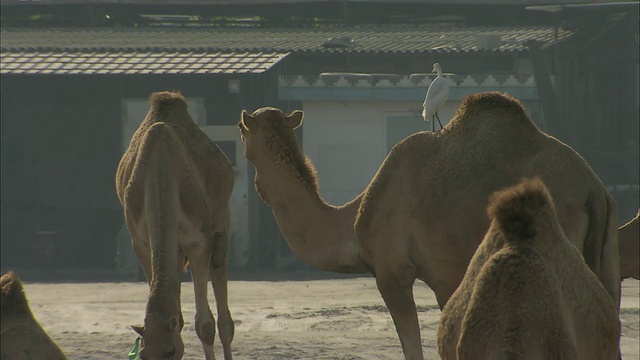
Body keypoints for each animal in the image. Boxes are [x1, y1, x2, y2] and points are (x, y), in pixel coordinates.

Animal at [115, 90, 235, 360]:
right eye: (143, 354)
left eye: (170, 351)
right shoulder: (142, 244)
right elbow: (176, 316)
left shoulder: (199, 242)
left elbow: (205, 324)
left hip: (220, 217)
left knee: (221, 289)